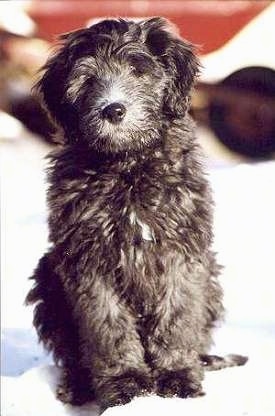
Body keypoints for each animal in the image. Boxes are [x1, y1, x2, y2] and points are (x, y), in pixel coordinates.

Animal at [26, 17, 248, 412]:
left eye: (137, 70)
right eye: (88, 79)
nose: (113, 110)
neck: (128, 167)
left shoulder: (181, 253)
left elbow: (177, 316)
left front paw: (176, 377)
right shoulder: (87, 260)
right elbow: (108, 326)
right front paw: (125, 384)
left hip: (211, 278)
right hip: (48, 277)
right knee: (72, 353)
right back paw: (78, 385)